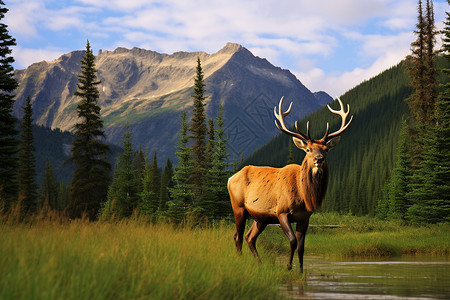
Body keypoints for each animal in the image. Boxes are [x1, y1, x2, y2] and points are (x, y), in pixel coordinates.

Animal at [229, 96, 352, 272]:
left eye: (326, 149)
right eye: (308, 149)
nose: (319, 159)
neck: (303, 196)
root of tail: (231, 178)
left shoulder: (304, 218)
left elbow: (301, 247)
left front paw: (300, 270)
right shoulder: (282, 212)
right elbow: (293, 241)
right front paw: (288, 266)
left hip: (261, 218)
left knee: (249, 237)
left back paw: (259, 262)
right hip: (238, 207)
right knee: (237, 236)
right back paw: (240, 261)